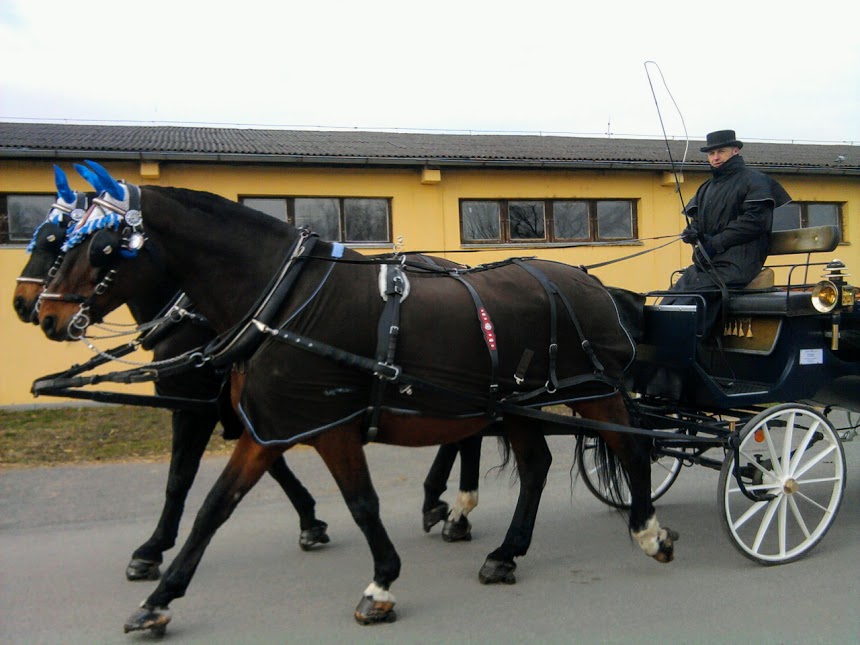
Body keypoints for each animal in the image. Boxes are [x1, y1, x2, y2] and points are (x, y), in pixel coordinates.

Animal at [38, 169, 680, 632]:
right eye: (59, 241)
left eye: (99, 247)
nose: (43, 313)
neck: (282, 301)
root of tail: (588, 280)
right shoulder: (268, 426)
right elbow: (214, 506)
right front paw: (160, 596)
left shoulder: (326, 426)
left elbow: (361, 503)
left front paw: (380, 584)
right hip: (517, 404)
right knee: (536, 466)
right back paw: (504, 550)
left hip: (595, 392)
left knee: (632, 451)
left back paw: (648, 532)